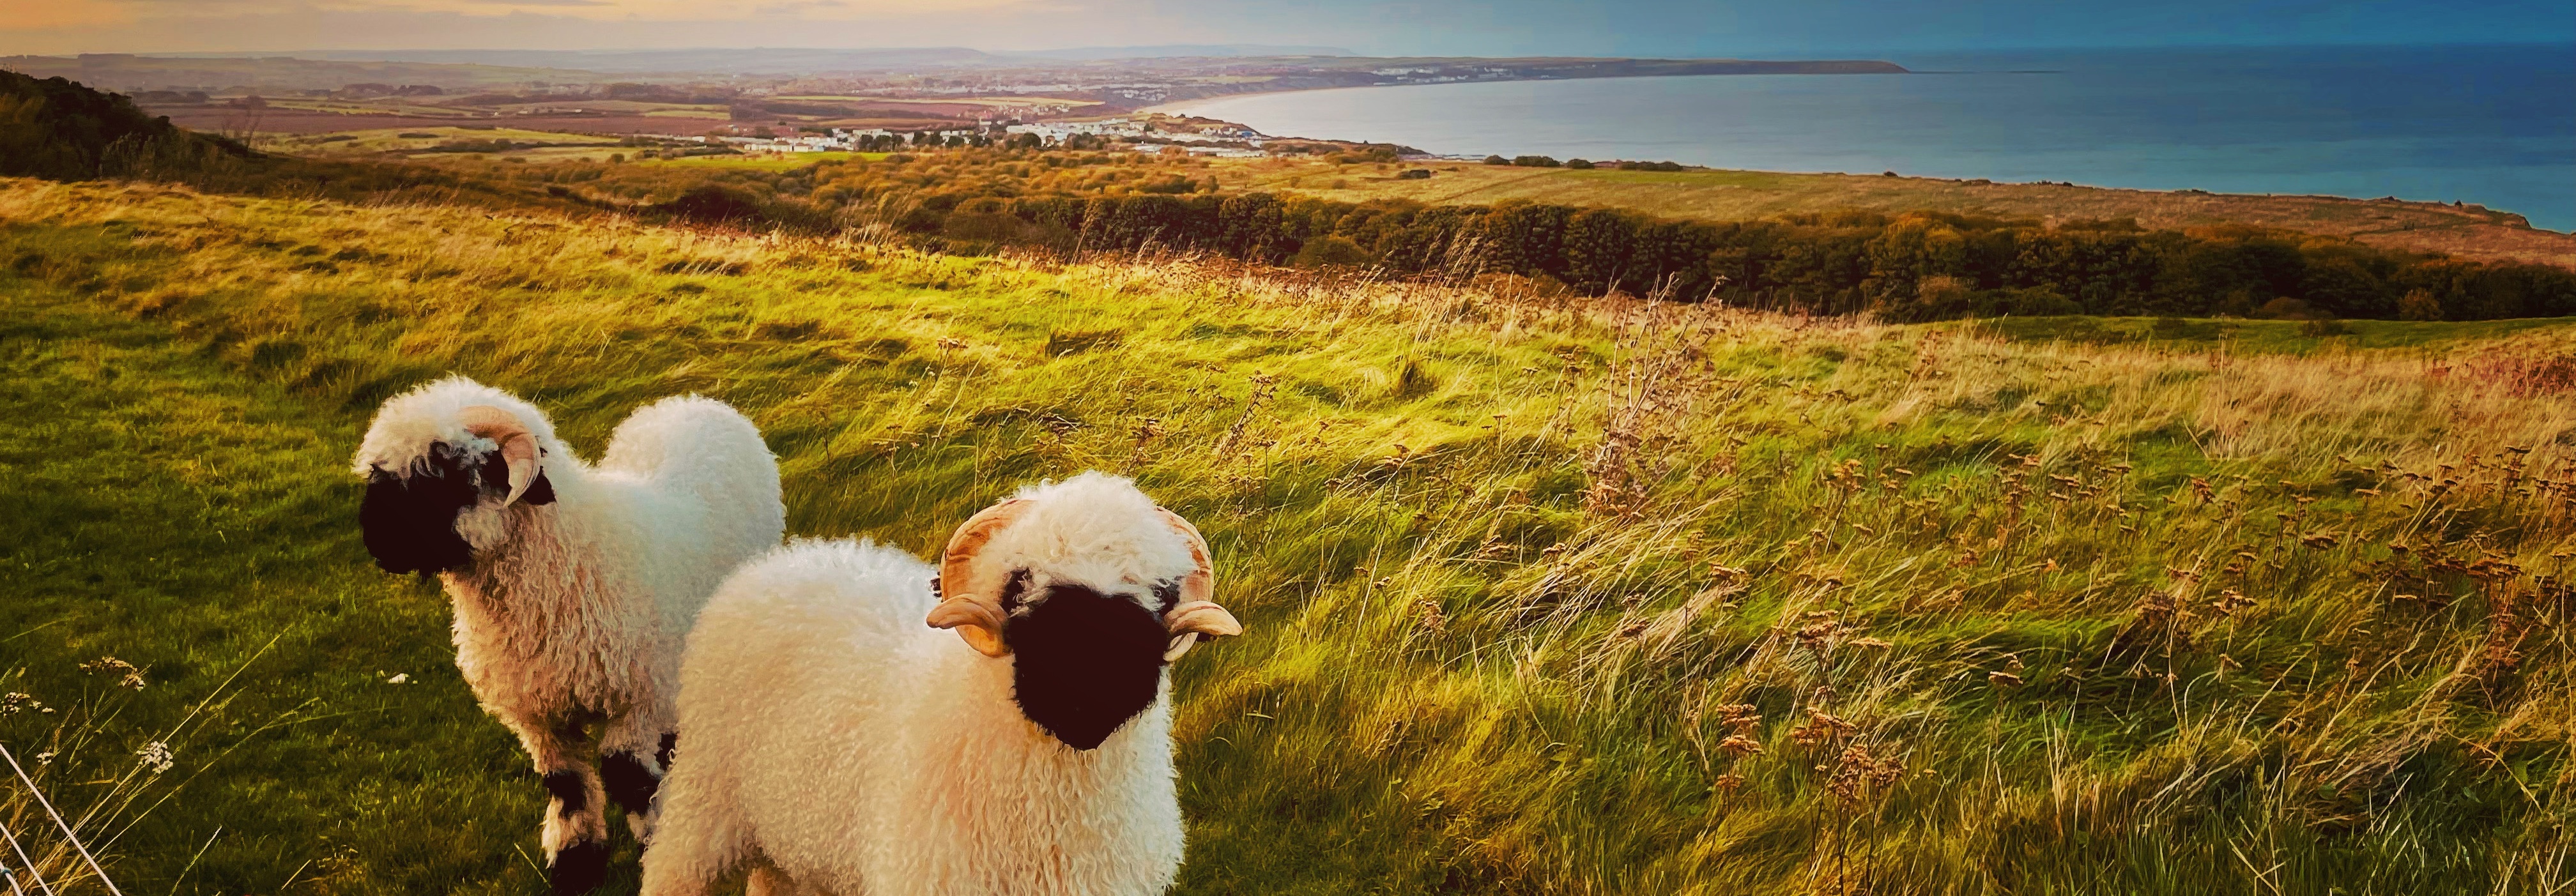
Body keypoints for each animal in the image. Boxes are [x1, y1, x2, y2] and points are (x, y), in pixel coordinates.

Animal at [352, 375, 783, 894]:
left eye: (446, 472)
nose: (375, 539)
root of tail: (693, 402)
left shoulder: (640, 697)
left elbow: (627, 776)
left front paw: (652, 843)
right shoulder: (540, 716)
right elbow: (566, 784)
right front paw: (575, 862)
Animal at [638, 472, 1244, 896]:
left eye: (1162, 592)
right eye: (1019, 582)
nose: (1088, 694)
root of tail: (780, 560)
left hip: (791, 843)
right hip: (704, 801)